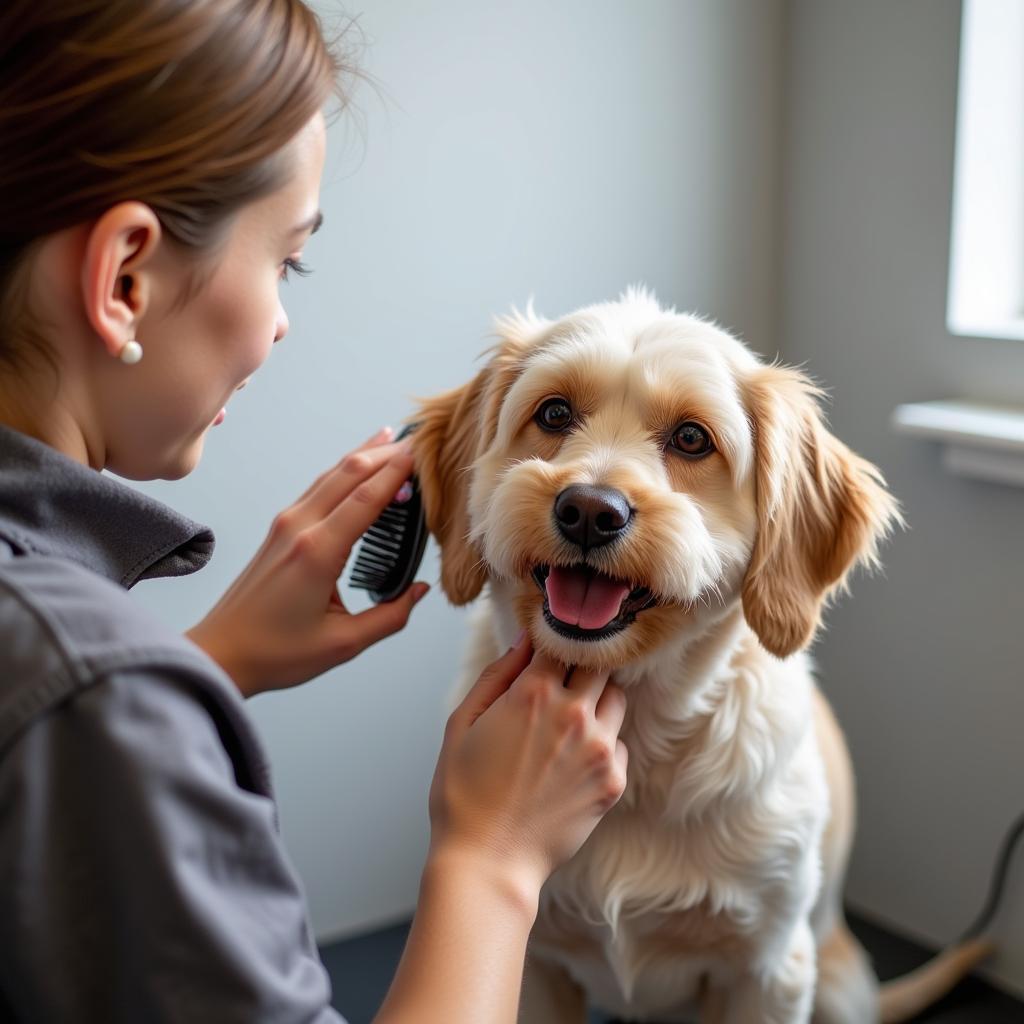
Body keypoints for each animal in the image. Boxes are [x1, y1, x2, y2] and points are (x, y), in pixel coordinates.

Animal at [409, 290, 991, 1024]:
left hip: (833, 986)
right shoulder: (535, 962)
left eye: (691, 438)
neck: (640, 730)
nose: (590, 511)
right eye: (554, 413)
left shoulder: (769, 970)